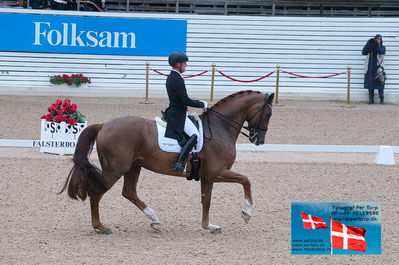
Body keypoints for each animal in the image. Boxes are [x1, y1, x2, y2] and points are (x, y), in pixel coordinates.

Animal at [60, 91, 276, 233]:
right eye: (268, 113)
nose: (258, 140)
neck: (219, 127)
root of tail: (104, 125)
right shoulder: (216, 172)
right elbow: (246, 180)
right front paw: (246, 213)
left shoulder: (207, 176)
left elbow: (206, 200)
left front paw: (208, 226)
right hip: (115, 169)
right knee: (96, 193)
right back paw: (100, 227)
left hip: (133, 167)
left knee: (129, 192)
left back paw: (154, 220)